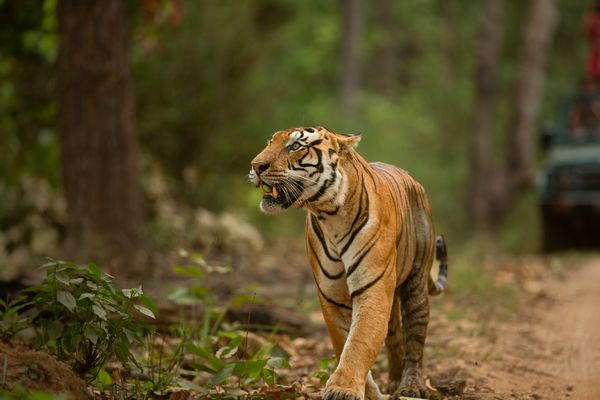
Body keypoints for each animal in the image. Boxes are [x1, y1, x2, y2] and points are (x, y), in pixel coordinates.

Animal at [246, 127, 448, 400]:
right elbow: (344, 342)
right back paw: (394, 382)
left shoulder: (372, 289)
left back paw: (411, 386)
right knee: (394, 336)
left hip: (415, 286)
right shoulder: (331, 295)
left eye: (296, 146)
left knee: (415, 337)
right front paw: (366, 391)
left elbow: (360, 341)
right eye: (270, 142)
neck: (330, 214)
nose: (256, 166)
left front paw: (343, 389)